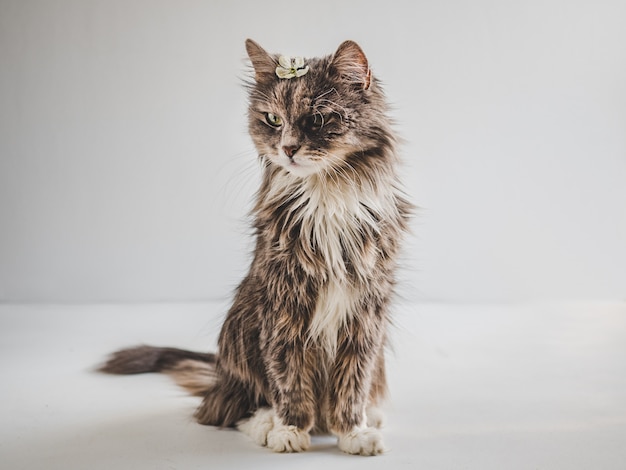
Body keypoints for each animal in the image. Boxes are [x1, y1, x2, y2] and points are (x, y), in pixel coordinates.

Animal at [100, 38, 412, 458]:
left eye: (317, 120)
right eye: (274, 120)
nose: (289, 149)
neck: (324, 195)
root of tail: (220, 374)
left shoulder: (365, 311)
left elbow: (353, 380)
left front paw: (354, 431)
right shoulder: (281, 304)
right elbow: (287, 374)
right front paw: (290, 428)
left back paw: (365, 416)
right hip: (241, 329)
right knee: (226, 409)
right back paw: (266, 422)